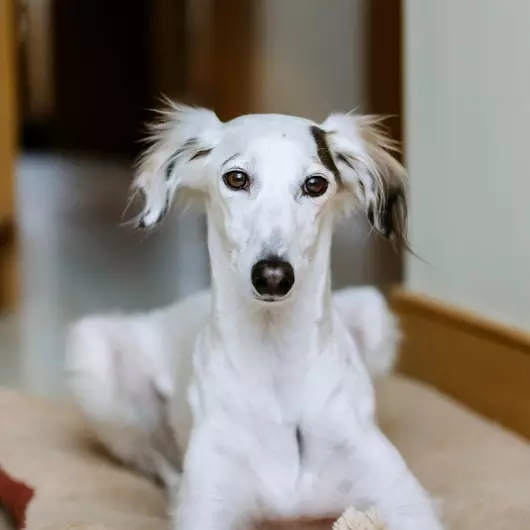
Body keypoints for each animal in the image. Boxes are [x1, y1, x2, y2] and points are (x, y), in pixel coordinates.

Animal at [65, 104, 442, 528]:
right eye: (237, 178)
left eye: (315, 184)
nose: (273, 276)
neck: (276, 369)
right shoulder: (208, 511)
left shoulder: (405, 501)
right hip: (93, 358)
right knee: (154, 462)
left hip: (373, 314)